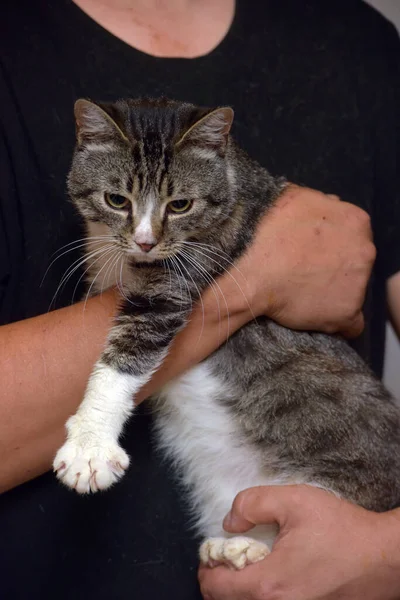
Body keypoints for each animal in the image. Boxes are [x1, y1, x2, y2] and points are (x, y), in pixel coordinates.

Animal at [54, 97, 400, 568]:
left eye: (180, 204)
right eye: (116, 199)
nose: (145, 242)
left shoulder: (180, 275)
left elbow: (127, 352)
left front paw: (89, 444)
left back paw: (249, 548)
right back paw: (233, 545)